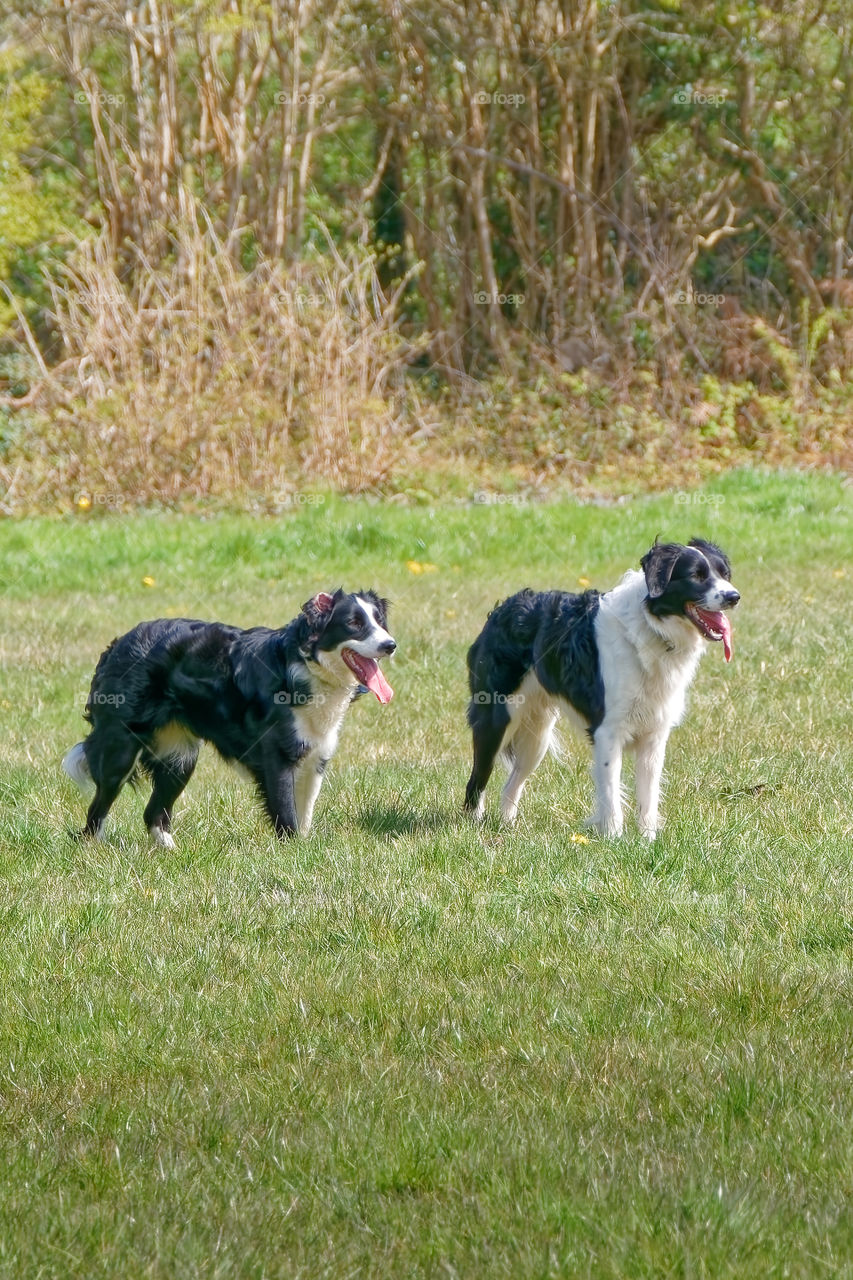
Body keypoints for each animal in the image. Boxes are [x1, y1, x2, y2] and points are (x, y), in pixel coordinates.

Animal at [64, 586, 394, 839]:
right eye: (354, 623)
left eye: (380, 622)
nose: (391, 645)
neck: (307, 666)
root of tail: (118, 644)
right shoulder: (277, 758)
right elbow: (287, 817)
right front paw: (293, 856)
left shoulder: (316, 757)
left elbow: (304, 817)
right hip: (120, 749)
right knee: (95, 813)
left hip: (179, 756)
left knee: (153, 813)